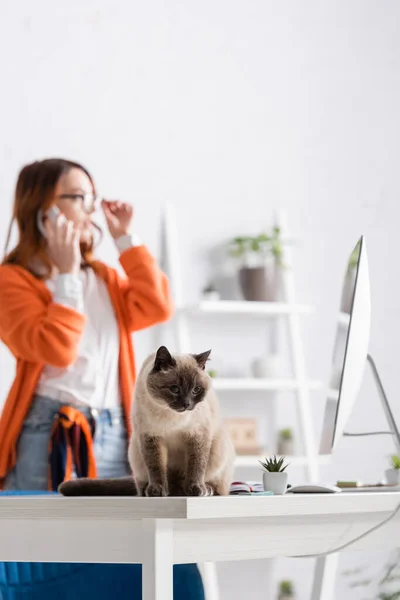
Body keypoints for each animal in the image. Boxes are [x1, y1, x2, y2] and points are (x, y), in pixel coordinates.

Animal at [59, 344, 234, 500]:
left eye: (196, 390)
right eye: (175, 389)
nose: (186, 404)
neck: (171, 417)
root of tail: (178, 490)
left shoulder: (197, 436)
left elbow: (196, 466)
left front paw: (196, 489)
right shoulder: (151, 437)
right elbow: (156, 467)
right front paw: (158, 491)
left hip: (218, 449)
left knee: (218, 486)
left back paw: (204, 489)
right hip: (135, 452)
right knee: (146, 482)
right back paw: (153, 490)